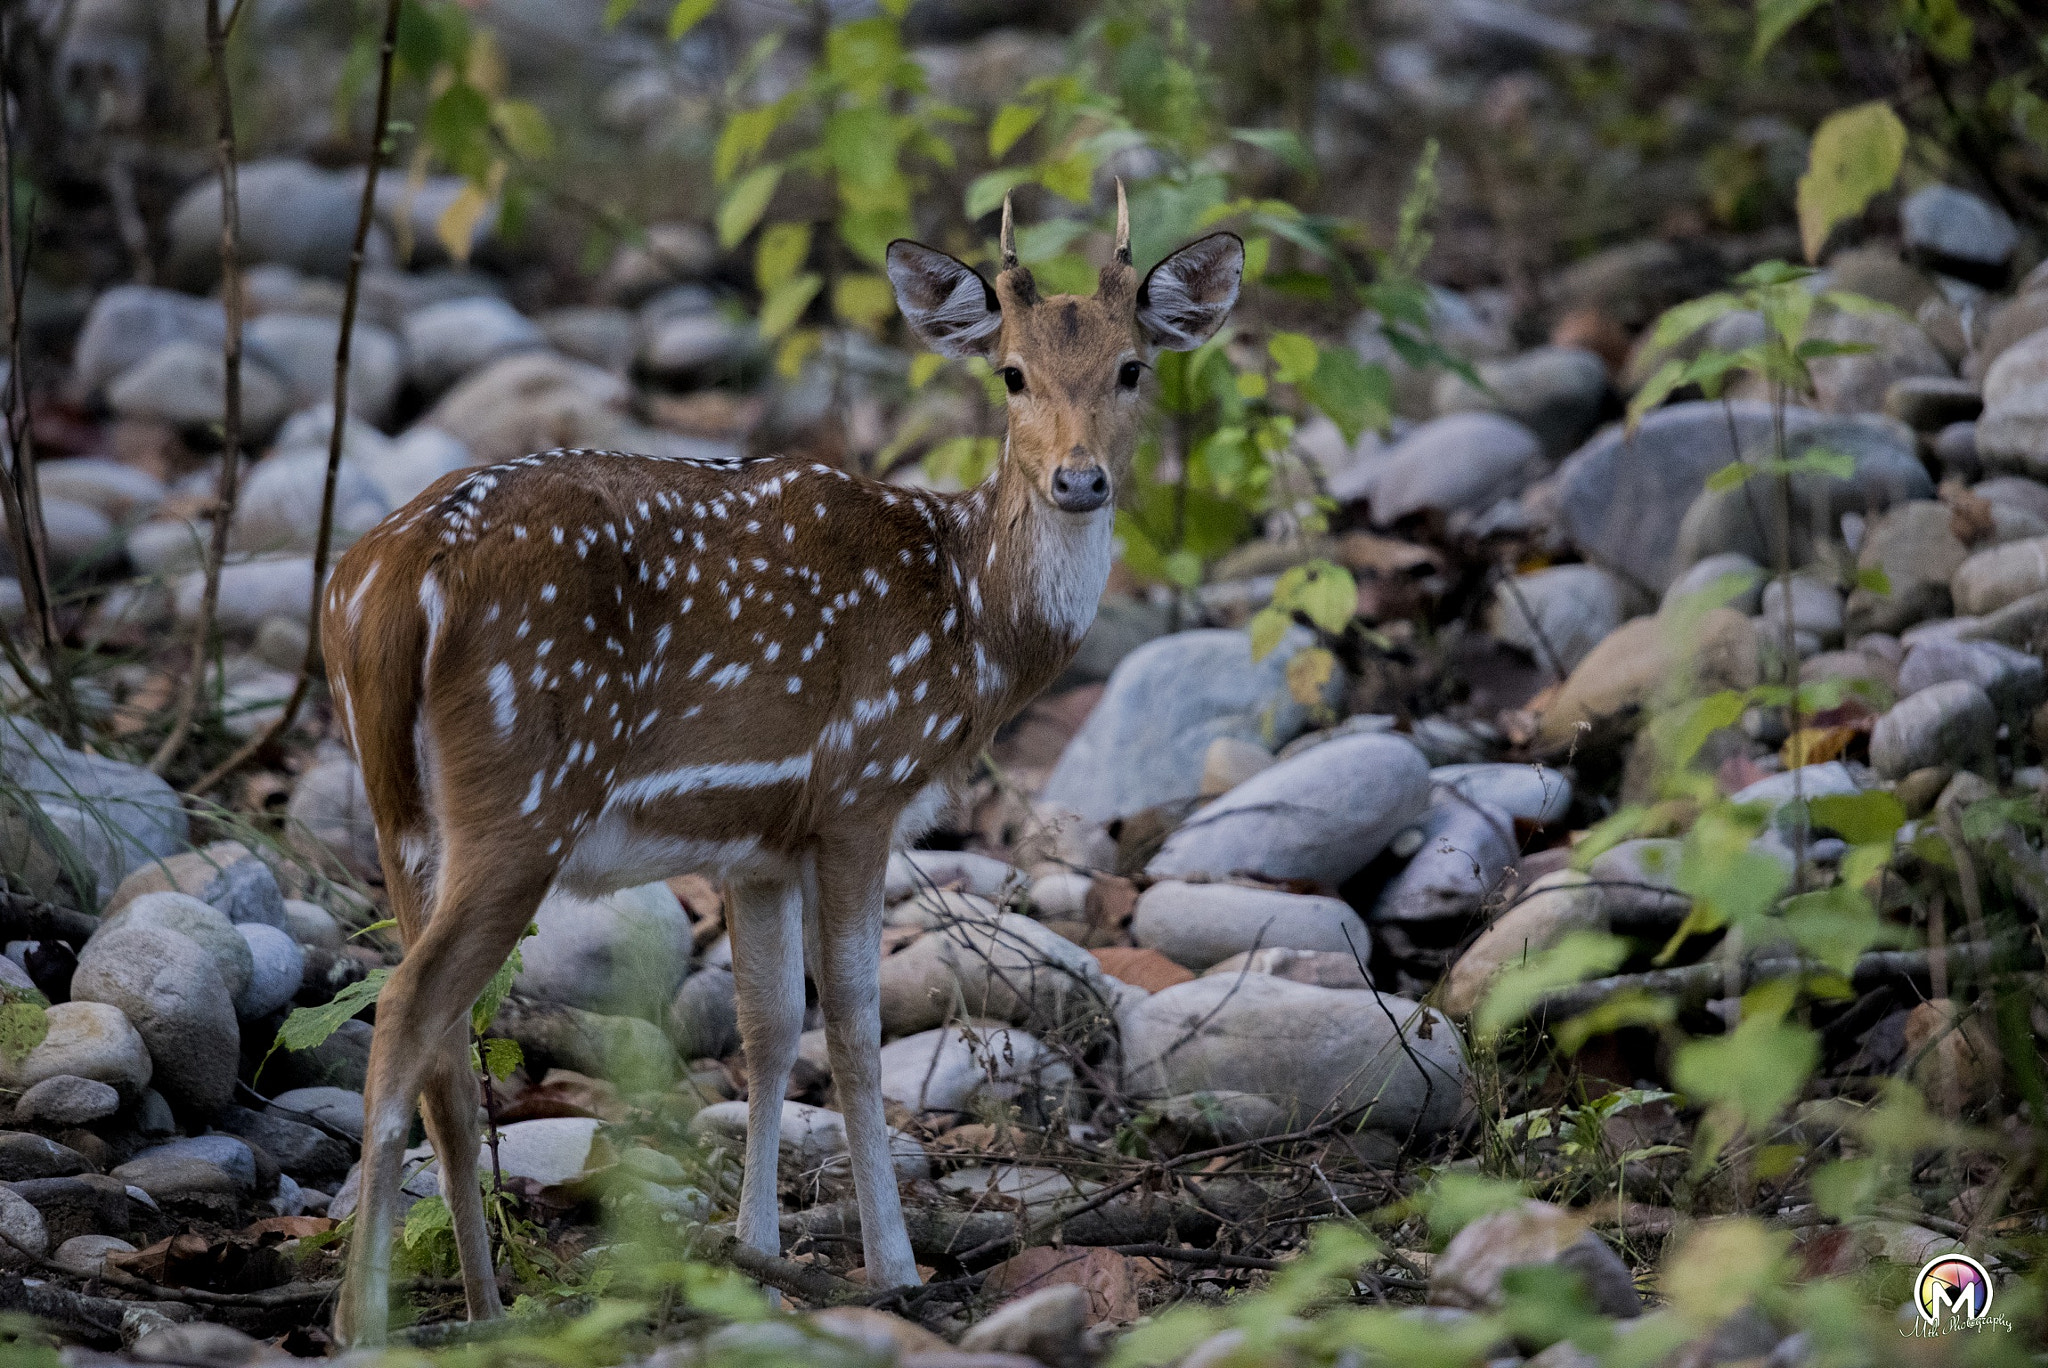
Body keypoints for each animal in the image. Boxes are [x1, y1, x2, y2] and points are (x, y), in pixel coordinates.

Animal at [323, 189, 1245, 1343]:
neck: (971, 622)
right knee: (408, 1007)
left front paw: (755, 1262)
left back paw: (485, 1307)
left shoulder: (754, 840)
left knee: (436, 1035)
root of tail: (389, 579)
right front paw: (893, 1269)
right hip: (521, 795)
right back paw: (362, 1323)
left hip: (400, 802)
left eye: (1131, 367)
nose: (1079, 479)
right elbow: (849, 1024)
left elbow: (767, 1029)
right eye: (1011, 374)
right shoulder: (860, 788)